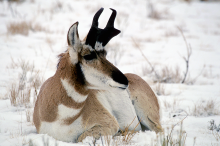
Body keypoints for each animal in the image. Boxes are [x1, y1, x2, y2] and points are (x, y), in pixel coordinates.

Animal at [33, 8, 162, 143]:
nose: (124, 81)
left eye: (105, 53)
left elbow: (81, 137)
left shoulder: (109, 124)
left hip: (148, 117)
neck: (64, 119)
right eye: (88, 56)